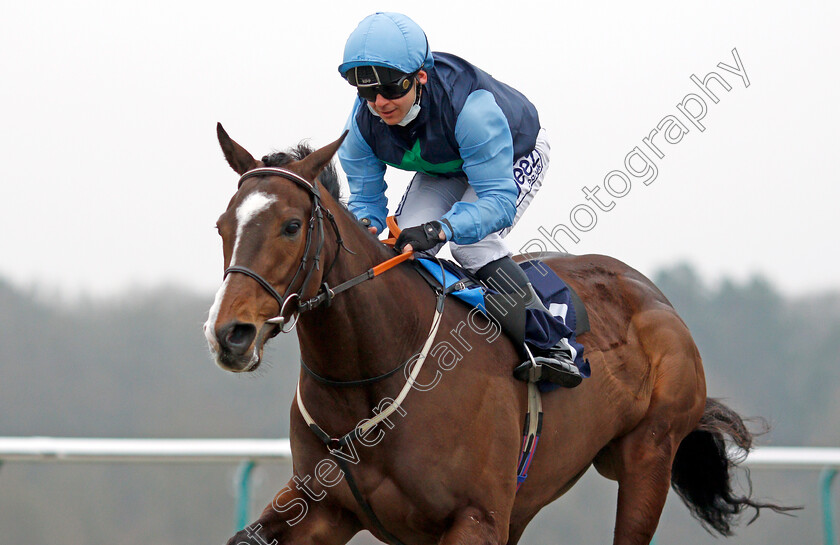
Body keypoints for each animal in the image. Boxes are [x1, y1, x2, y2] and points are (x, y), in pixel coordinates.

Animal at [203, 123, 788, 544]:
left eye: (291, 226)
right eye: (222, 226)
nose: (230, 334)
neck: (373, 378)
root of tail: (655, 298)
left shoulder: (476, 517)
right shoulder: (322, 508)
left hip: (648, 456)